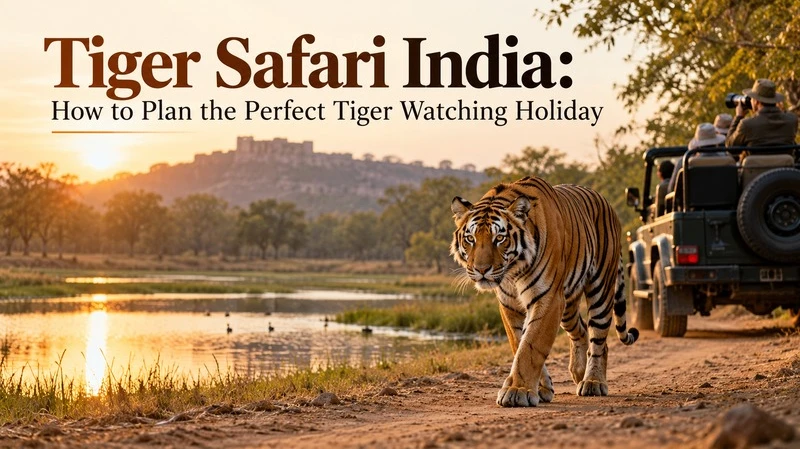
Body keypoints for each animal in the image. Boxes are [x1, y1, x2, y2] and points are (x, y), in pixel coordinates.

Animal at [450, 176, 638, 407]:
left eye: (499, 238)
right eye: (470, 239)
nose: (481, 269)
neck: (512, 271)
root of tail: (607, 204)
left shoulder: (548, 298)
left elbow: (531, 346)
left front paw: (517, 391)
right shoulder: (509, 303)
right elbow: (518, 343)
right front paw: (541, 388)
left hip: (600, 289)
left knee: (599, 338)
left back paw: (593, 382)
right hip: (568, 304)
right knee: (581, 330)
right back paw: (579, 373)